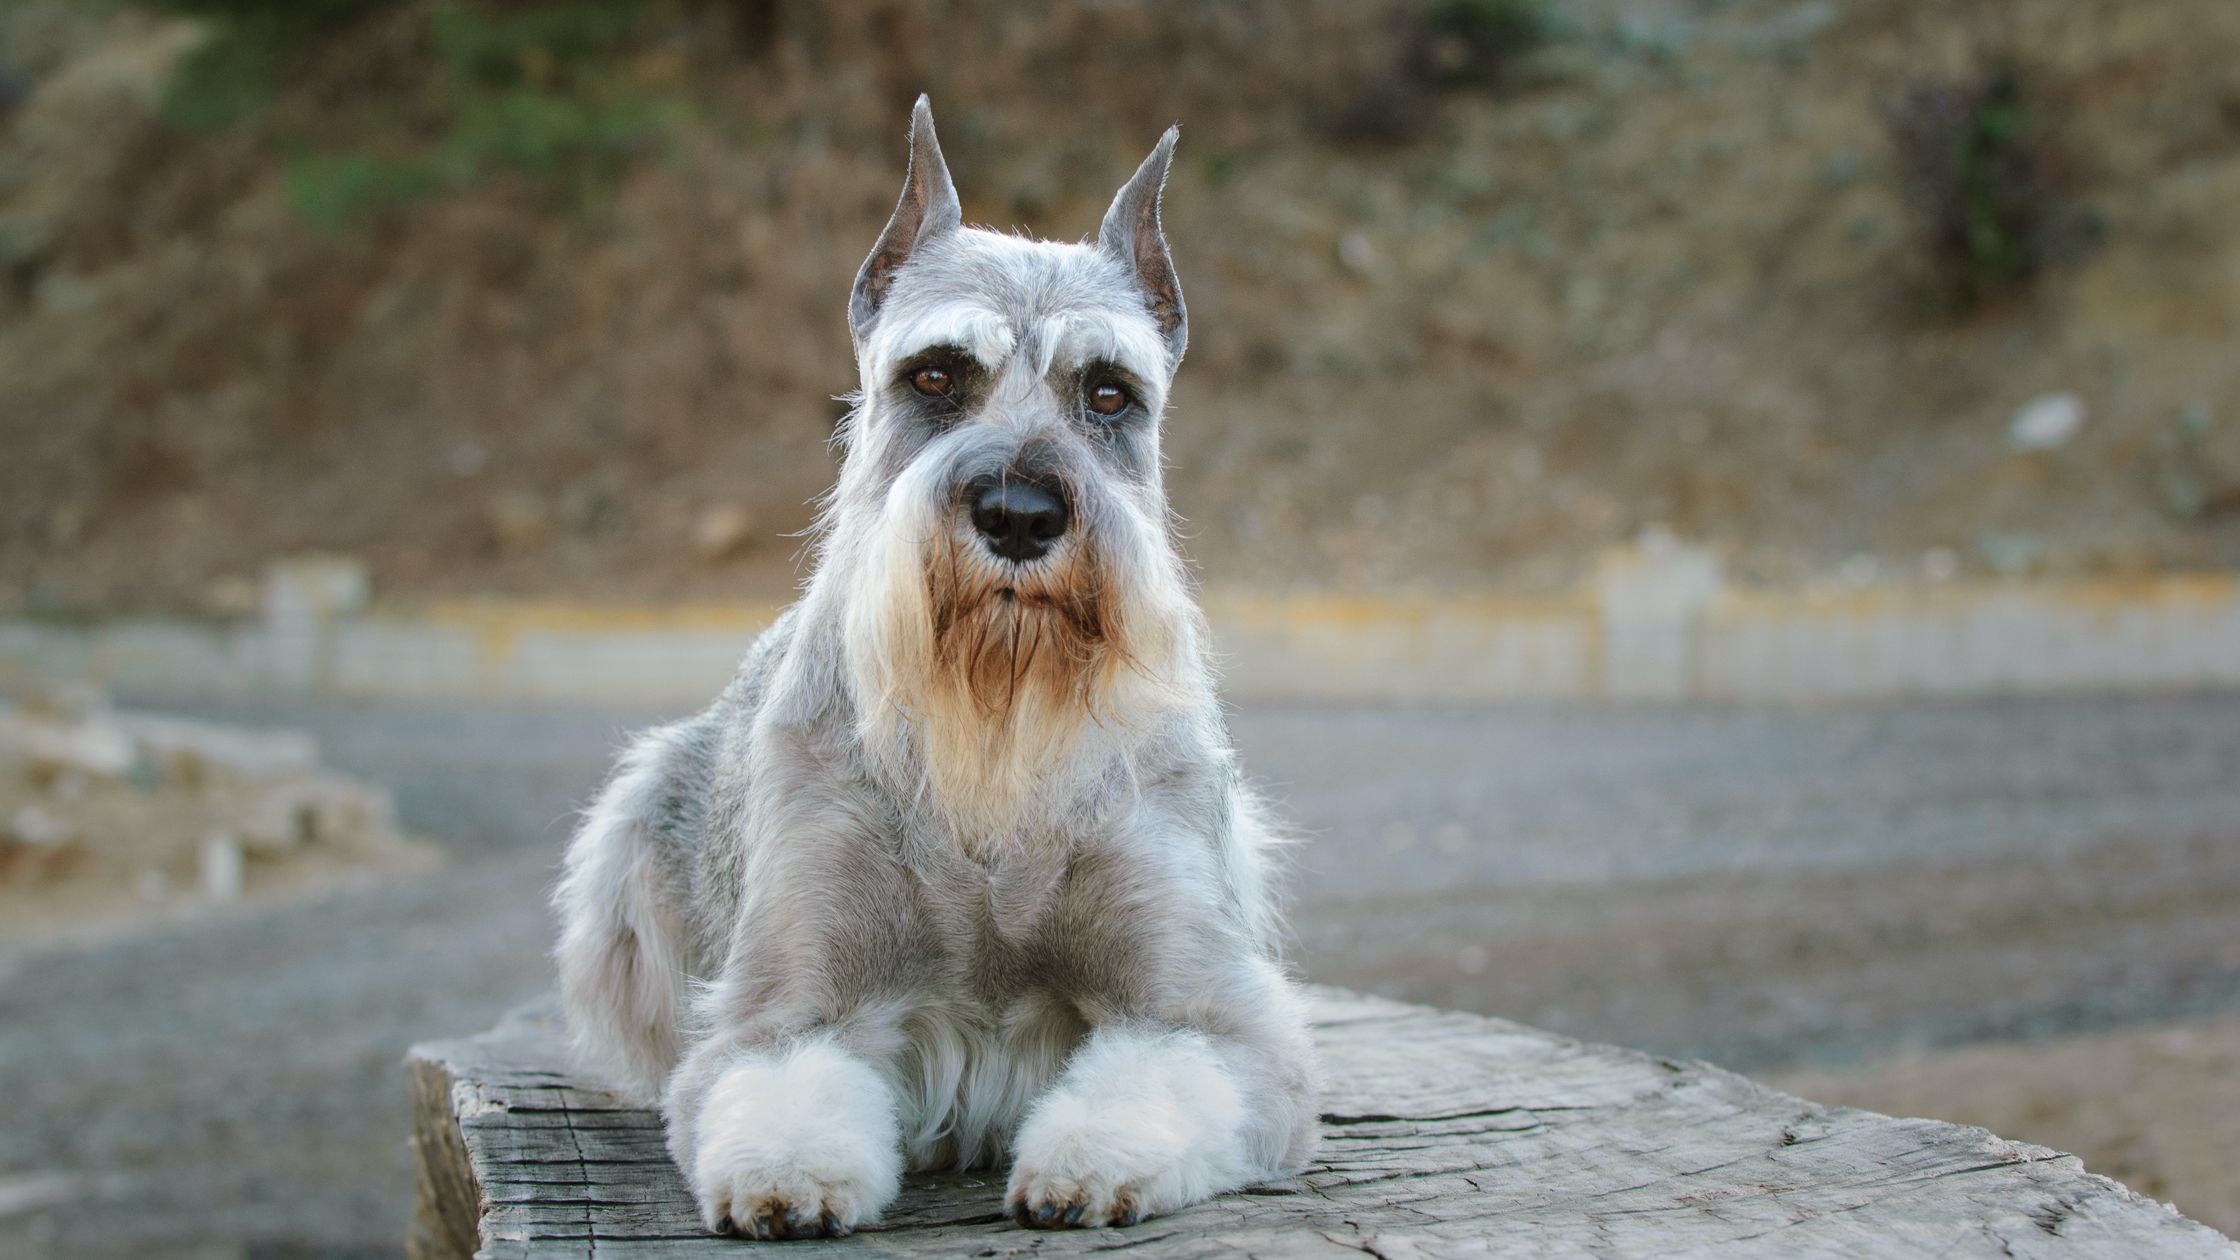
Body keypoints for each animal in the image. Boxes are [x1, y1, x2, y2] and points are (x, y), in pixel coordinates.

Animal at [560, 95, 1317, 1237]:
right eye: (933, 374)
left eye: (1109, 393)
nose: (1019, 514)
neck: (994, 740)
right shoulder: (789, 1011)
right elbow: (779, 1088)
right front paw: (788, 1175)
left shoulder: (1212, 1022)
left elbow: (1160, 1077)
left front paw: (1087, 1158)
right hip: (633, 830)